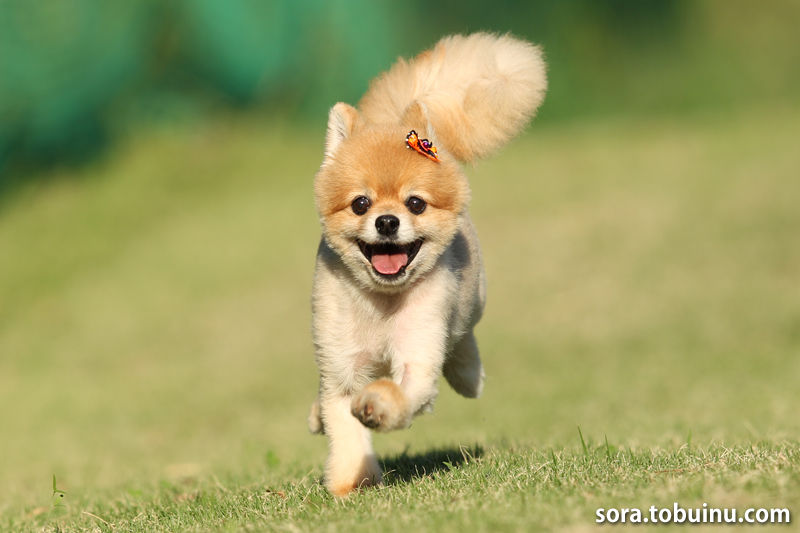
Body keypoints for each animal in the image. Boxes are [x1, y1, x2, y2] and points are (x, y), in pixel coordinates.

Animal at [304, 32, 544, 494]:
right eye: (360, 204)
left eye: (415, 203)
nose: (386, 221)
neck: (381, 303)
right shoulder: (342, 368)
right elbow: (344, 431)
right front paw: (351, 483)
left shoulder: (418, 351)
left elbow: (404, 392)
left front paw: (378, 406)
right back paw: (313, 415)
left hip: (472, 298)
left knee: (464, 340)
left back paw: (469, 374)